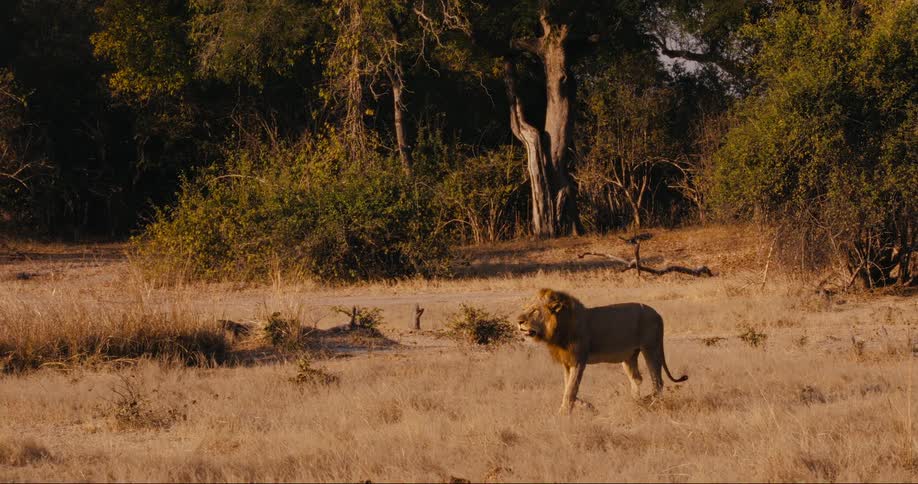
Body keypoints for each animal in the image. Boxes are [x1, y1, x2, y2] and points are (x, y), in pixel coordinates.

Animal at [517, 288, 687, 413]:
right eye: (525, 309)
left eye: (535, 311)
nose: (519, 321)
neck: (558, 329)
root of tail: (658, 314)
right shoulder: (567, 363)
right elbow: (567, 388)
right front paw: (588, 406)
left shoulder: (579, 361)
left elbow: (571, 390)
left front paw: (563, 413)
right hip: (629, 356)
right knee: (637, 379)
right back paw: (635, 402)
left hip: (651, 348)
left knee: (657, 382)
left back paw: (649, 403)